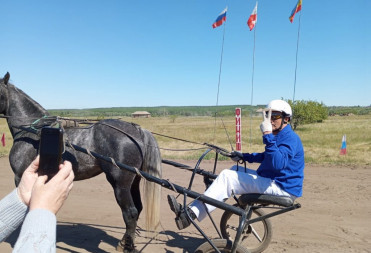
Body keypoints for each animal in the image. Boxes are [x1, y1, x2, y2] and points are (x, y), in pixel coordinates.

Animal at [0, 72, 162, 252]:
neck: (32, 131)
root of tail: (136, 130)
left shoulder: (20, 177)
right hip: (133, 181)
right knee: (138, 208)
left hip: (120, 184)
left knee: (130, 213)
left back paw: (126, 246)